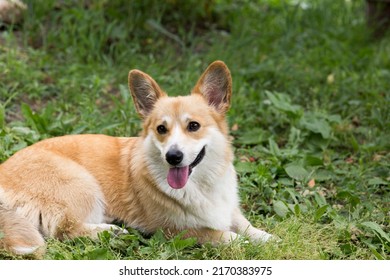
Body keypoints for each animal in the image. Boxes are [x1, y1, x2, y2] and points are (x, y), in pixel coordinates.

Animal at [0, 60, 272, 256]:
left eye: (193, 126)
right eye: (161, 129)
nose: (173, 157)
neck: (201, 184)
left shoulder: (230, 210)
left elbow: (247, 226)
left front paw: (267, 238)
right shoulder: (175, 231)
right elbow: (223, 235)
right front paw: (242, 242)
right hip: (82, 184)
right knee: (64, 230)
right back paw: (109, 232)